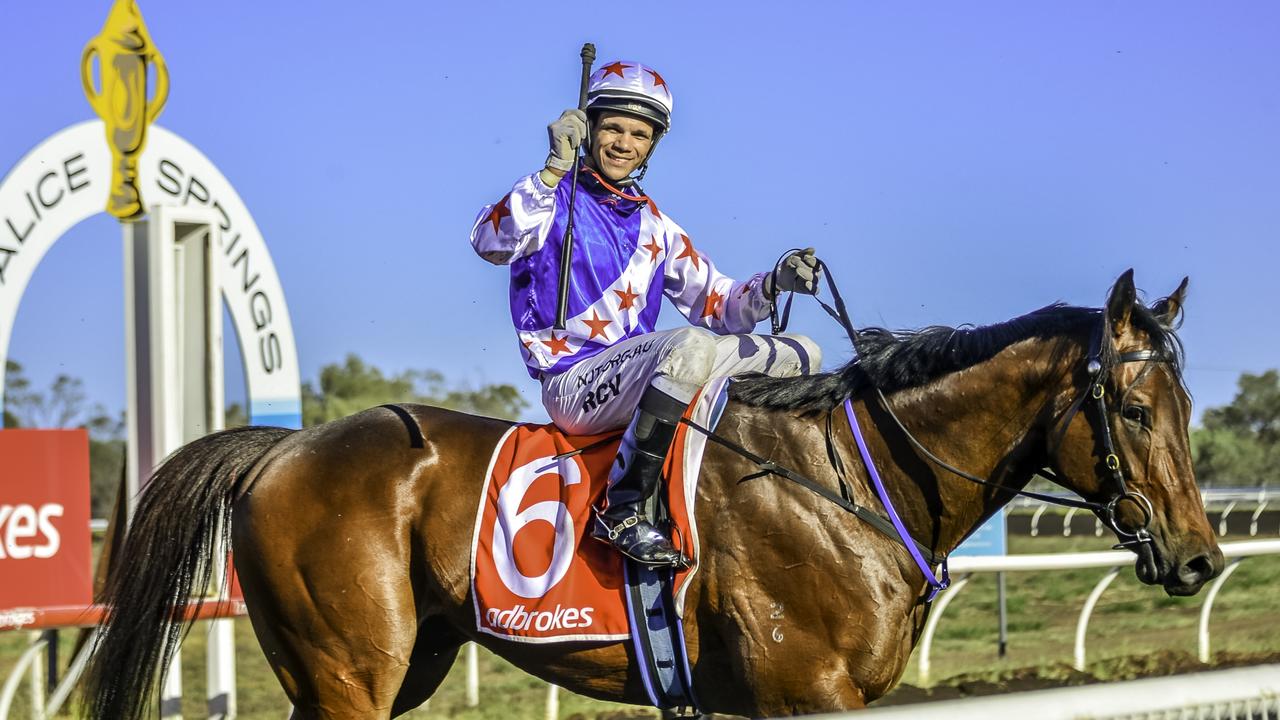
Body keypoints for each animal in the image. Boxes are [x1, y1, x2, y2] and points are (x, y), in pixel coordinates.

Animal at [85, 269, 1223, 717]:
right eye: (1131, 410)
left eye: (1184, 402)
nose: (1201, 555)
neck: (847, 481)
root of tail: (282, 450)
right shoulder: (801, 694)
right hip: (347, 674)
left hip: (402, 663)